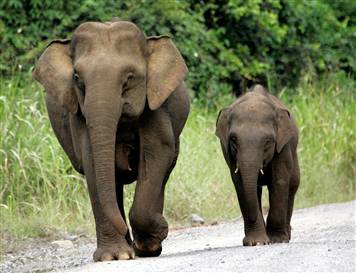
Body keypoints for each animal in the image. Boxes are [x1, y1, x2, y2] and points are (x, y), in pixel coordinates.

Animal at [33, 20, 189, 260]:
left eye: (130, 78)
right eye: (77, 78)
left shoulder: (156, 105)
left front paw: (152, 240)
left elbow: (156, 152)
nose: (128, 236)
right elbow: (91, 161)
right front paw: (115, 257)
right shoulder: (78, 114)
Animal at [216, 84, 298, 244]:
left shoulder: (283, 146)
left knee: (293, 185)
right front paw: (255, 242)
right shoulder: (228, 152)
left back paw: (287, 236)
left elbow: (279, 181)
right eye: (233, 139)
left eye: (267, 141)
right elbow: (240, 184)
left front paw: (276, 240)